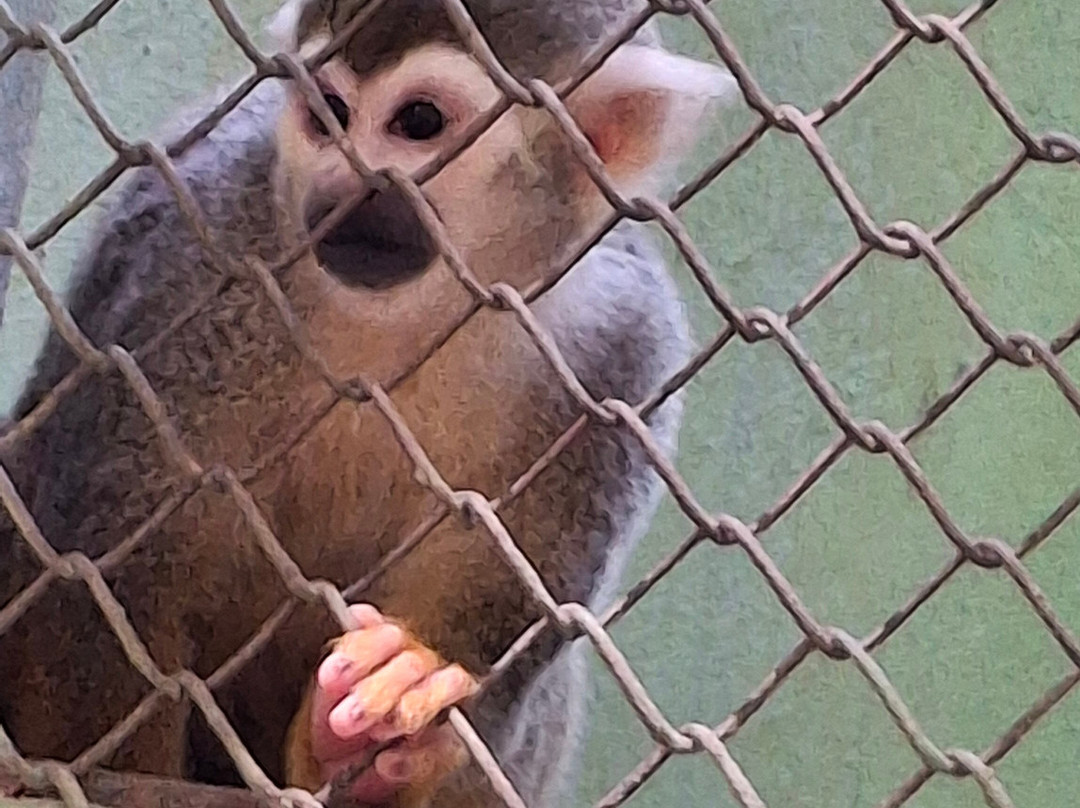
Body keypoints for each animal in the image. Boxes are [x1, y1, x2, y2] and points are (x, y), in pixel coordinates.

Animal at [0, 0, 735, 804]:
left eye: (419, 122)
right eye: (330, 113)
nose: (342, 187)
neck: (419, 310)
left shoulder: (623, 354)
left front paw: (366, 744)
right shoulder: (192, 250)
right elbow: (103, 594)